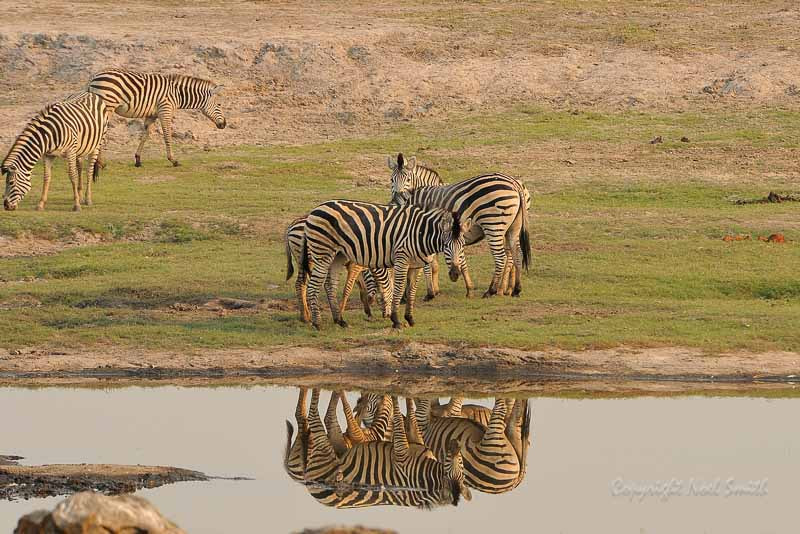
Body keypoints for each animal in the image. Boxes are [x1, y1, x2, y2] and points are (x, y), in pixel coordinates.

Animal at [86, 68, 227, 168]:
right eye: (219, 105)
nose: (224, 124)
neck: (178, 94)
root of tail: (94, 77)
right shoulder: (165, 111)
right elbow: (167, 136)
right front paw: (173, 160)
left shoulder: (152, 115)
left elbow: (145, 135)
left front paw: (138, 160)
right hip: (108, 106)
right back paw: (101, 163)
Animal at [304, 390, 472, 510]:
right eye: (461, 463)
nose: (456, 443)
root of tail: (310, 482)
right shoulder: (415, 441)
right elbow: (411, 418)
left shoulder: (401, 452)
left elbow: (397, 418)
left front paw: (394, 397)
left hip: (324, 449)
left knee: (320, 417)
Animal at [392, 168, 536, 300]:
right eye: (392, 180)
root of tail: (514, 183)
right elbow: (452, 262)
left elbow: (425, 265)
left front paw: (426, 293)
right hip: (513, 227)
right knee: (517, 254)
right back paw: (515, 289)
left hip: (493, 224)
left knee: (501, 257)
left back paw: (493, 290)